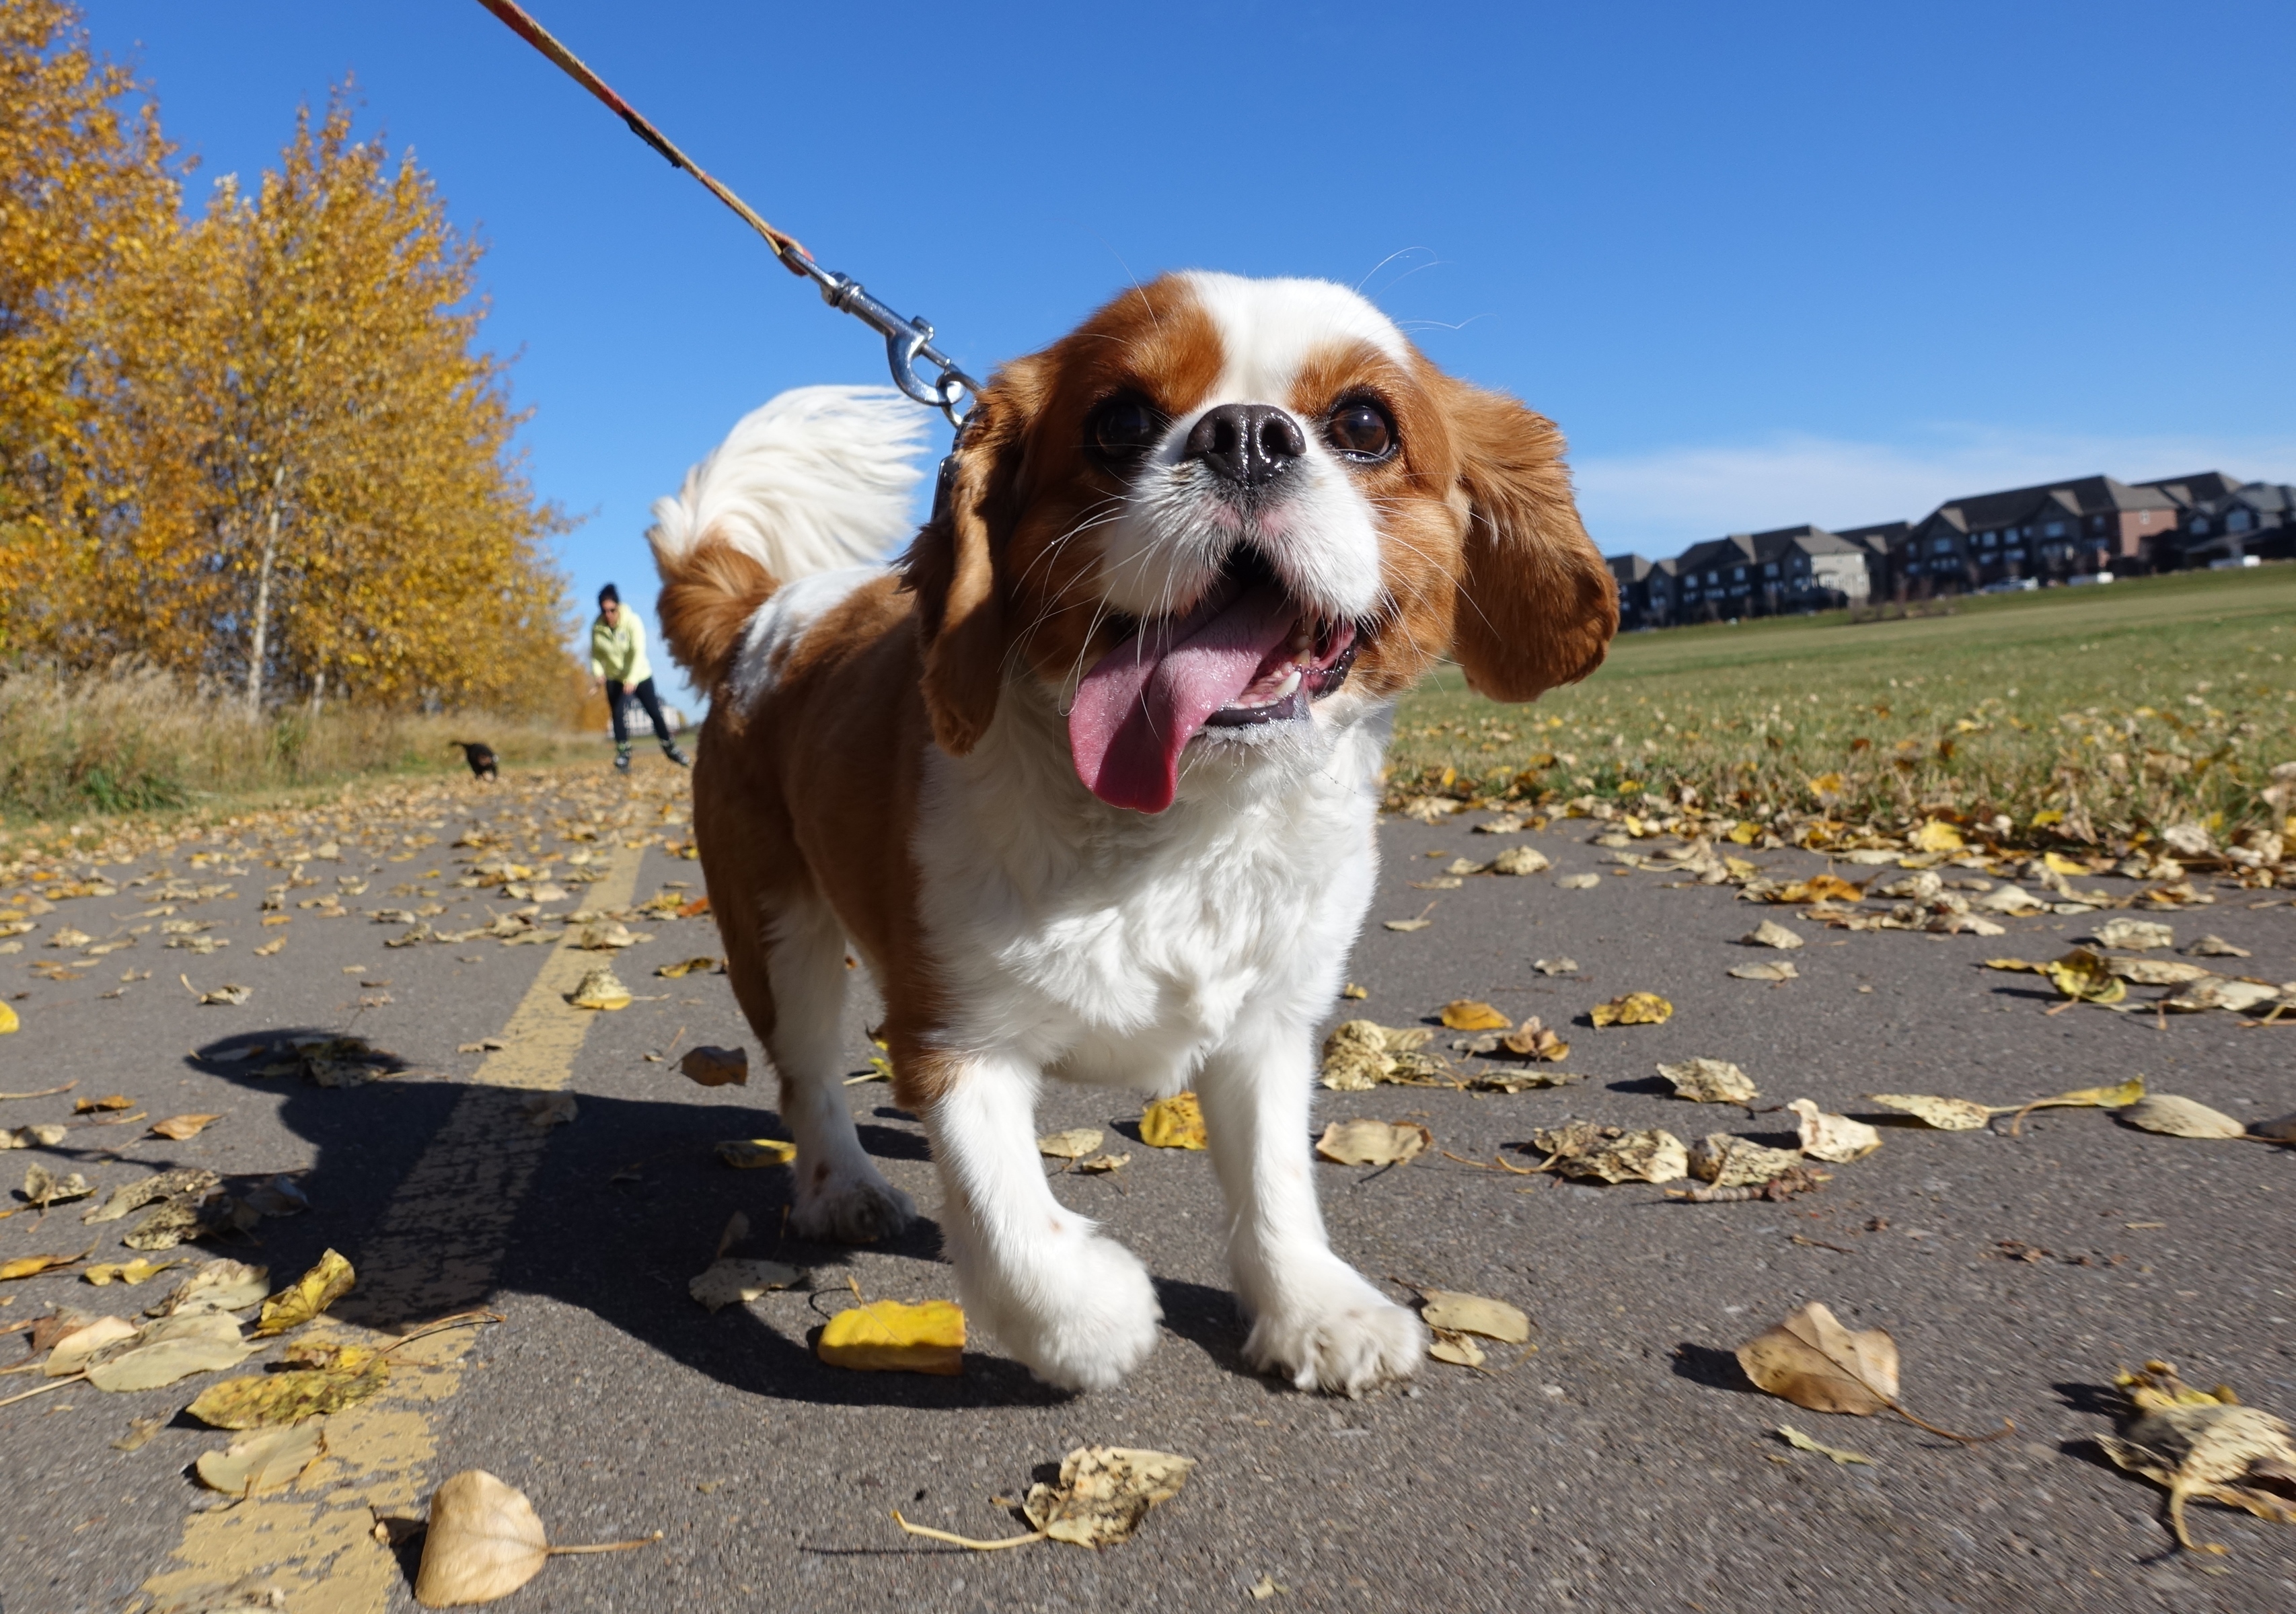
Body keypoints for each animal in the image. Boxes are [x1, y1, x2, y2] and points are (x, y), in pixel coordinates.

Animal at [647, 270, 1616, 1395]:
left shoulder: (1268, 1023)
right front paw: (1089, 1315)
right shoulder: (952, 1035)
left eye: (1365, 424)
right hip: (777, 932)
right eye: (1118, 421)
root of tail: (762, 609)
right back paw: (839, 1185)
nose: (1247, 435)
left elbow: (1275, 1177)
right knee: (807, 1073)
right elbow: (1010, 1219)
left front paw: (1310, 1303)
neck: (1185, 821)